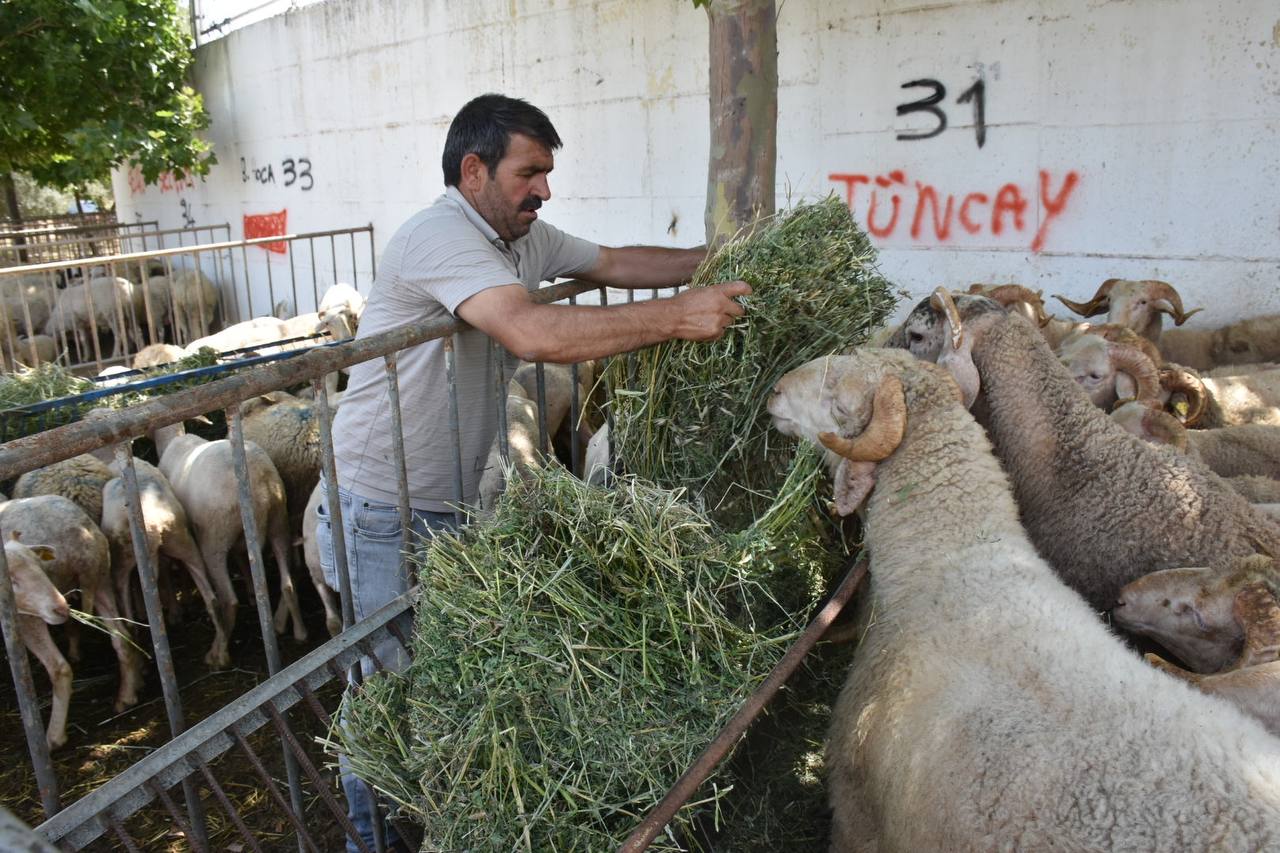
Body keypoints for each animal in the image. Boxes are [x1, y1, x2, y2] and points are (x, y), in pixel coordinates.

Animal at [152, 417, 304, 637]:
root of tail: (260, 488)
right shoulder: (242, 541)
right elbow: (243, 561)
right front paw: (252, 591)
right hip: (278, 522)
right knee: (288, 583)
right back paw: (296, 630)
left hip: (214, 538)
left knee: (229, 600)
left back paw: (219, 644)